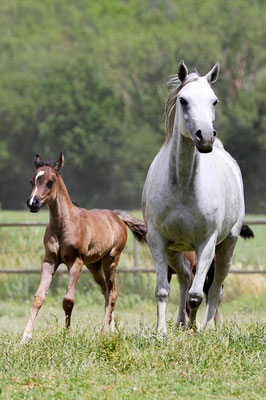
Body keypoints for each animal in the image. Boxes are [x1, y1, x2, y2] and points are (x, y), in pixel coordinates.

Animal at [21, 154, 147, 344]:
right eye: (31, 180)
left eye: (50, 181)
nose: (32, 203)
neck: (64, 224)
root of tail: (117, 216)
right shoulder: (49, 261)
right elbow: (39, 297)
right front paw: (25, 337)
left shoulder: (76, 262)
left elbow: (68, 300)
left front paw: (66, 335)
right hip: (94, 265)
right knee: (106, 292)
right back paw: (111, 330)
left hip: (111, 260)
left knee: (113, 293)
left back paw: (102, 331)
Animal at [142, 61, 244, 332]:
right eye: (183, 100)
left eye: (214, 100)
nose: (205, 136)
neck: (184, 185)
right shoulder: (158, 240)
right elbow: (162, 290)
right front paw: (162, 332)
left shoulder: (206, 243)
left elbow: (198, 295)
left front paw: (195, 328)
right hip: (175, 249)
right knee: (185, 277)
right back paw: (180, 322)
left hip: (227, 245)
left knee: (215, 288)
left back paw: (206, 327)